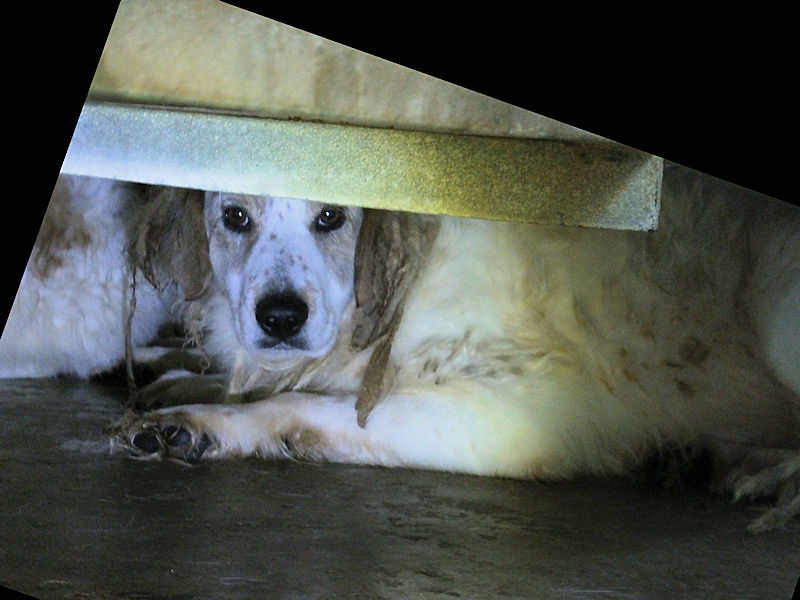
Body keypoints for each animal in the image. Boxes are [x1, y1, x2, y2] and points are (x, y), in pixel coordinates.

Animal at [84, 165, 800, 532]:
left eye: (331, 217)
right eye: (235, 218)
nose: (281, 317)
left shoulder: (510, 413)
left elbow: (303, 405)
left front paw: (199, 424)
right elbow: (264, 381)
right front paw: (173, 374)